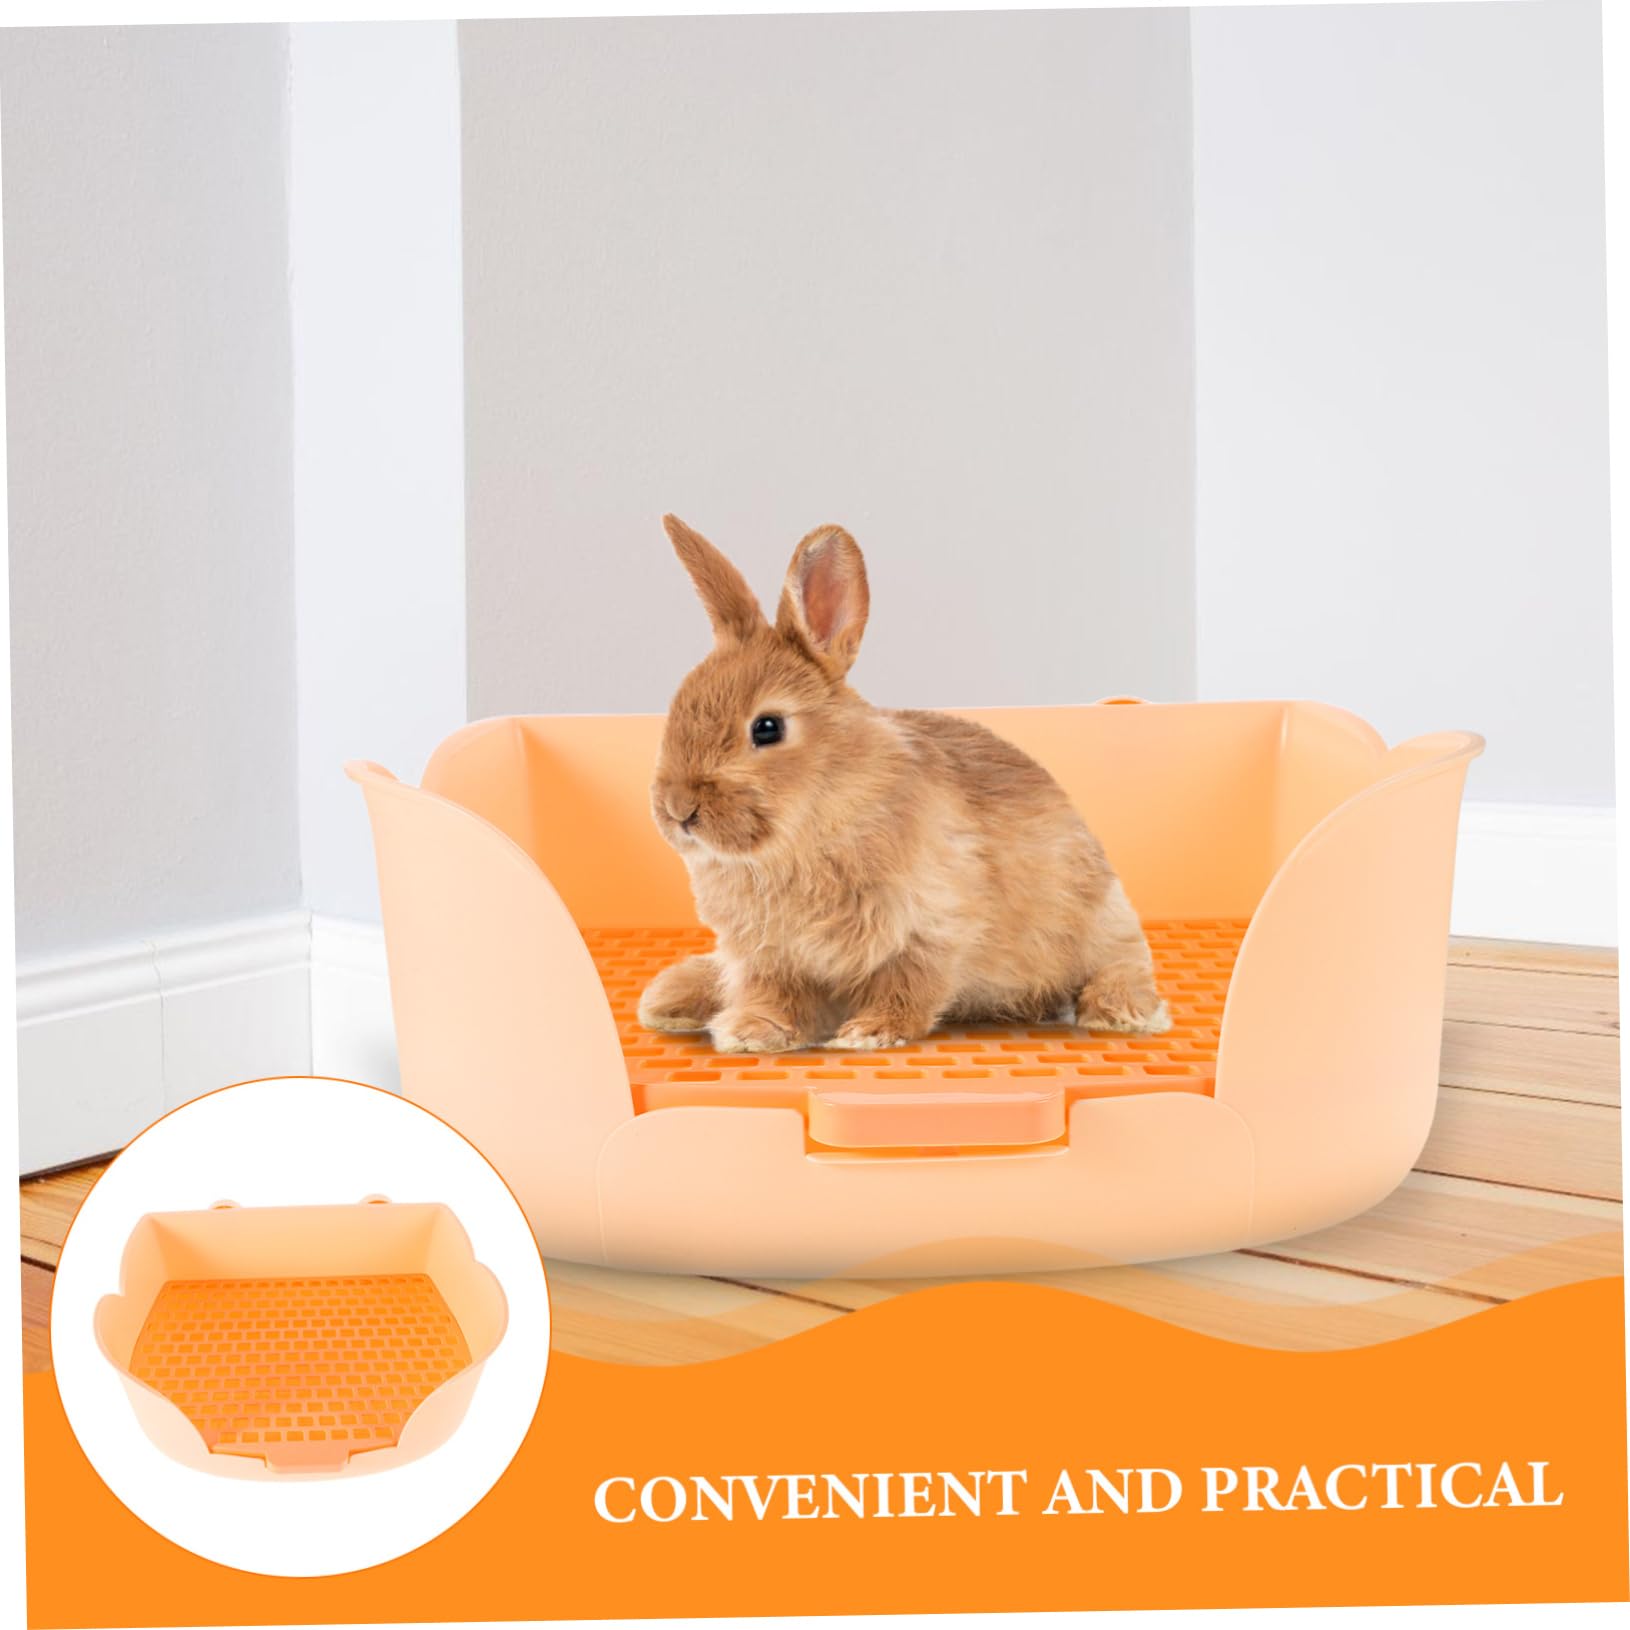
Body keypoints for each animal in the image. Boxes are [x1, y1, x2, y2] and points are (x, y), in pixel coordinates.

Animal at [638, 515, 1170, 1054]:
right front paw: (752, 1033)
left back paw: (1120, 1013)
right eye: (677, 705)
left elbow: (910, 986)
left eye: (767, 728)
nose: (678, 809)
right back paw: (669, 998)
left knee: (1121, 964)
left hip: (1101, 923)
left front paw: (870, 1033)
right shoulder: (770, 956)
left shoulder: (930, 928)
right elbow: (774, 996)